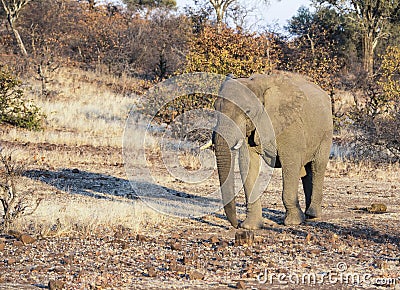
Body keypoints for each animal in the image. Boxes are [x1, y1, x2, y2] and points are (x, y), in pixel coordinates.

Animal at [214, 72, 332, 229]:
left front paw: (293, 222)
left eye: (247, 111)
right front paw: (250, 226)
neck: (257, 85)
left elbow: (291, 162)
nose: (236, 225)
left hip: (326, 132)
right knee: (306, 172)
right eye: (215, 107)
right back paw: (308, 215)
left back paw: (312, 216)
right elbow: (248, 164)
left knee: (317, 167)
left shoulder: (290, 125)